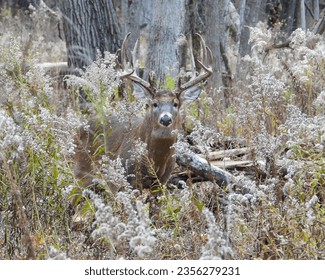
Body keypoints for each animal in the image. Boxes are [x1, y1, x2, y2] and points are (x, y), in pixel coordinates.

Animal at [75, 32, 213, 194]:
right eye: (154, 104)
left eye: (175, 104)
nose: (165, 119)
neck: (154, 164)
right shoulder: (124, 179)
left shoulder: (162, 181)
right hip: (81, 171)